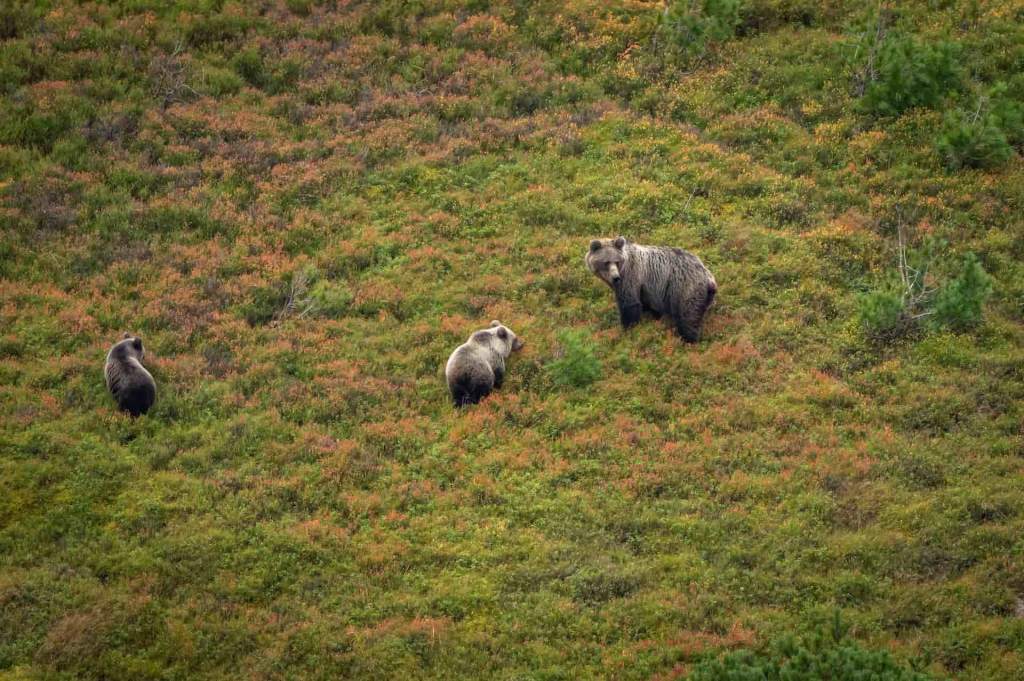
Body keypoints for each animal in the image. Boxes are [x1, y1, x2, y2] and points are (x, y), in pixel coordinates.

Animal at [586, 236, 716, 342]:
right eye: (606, 262)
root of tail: (709, 277)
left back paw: (688, 339)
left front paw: (627, 329)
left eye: (616, 261)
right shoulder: (645, 289)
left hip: (685, 288)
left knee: (687, 316)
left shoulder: (631, 276)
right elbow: (647, 305)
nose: (615, 277)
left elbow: (629, 304)